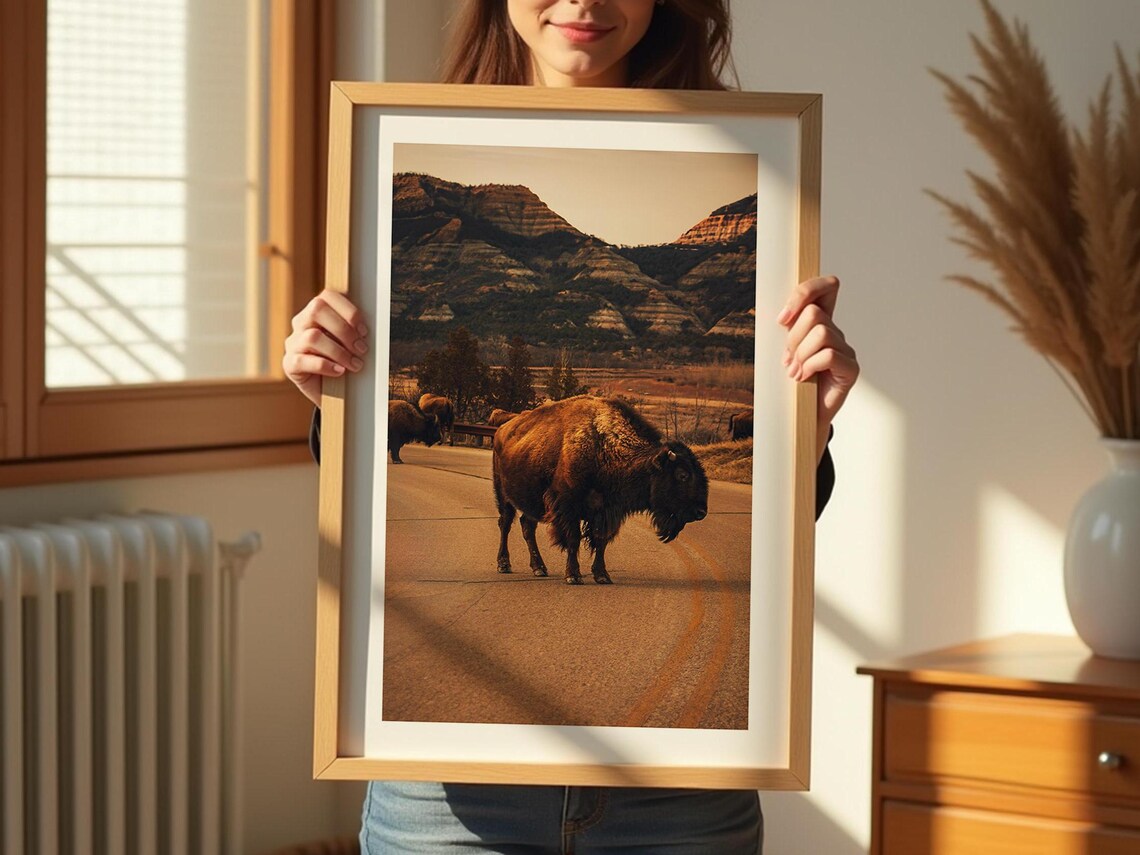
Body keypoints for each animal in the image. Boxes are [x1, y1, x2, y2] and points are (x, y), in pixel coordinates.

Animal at [492, 396, 709, 585]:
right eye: (682, 475)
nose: (700, 512)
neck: (603, 447)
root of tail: (504, 425)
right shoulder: (568, 507)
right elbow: (573, 539)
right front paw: (573, 576)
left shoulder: (606, 511)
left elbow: (601, 541)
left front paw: (602, 575)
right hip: (503, 495)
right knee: (505, 523)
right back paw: (504, 564)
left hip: (531, 501)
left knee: (527, 526)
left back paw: (539, 568)